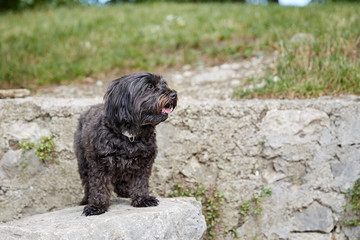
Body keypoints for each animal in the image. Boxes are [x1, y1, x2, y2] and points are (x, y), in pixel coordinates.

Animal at [74, 71, 177, 216]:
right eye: (149, 86)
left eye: (164, 84)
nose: (174, 94)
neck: (130, 136)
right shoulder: (99, 164)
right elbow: (99, 186)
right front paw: (96, 206)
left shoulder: (144, 163)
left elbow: (140, 183)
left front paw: (142, 199)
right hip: (83, 161)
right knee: (88, 182)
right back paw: (87, 199)